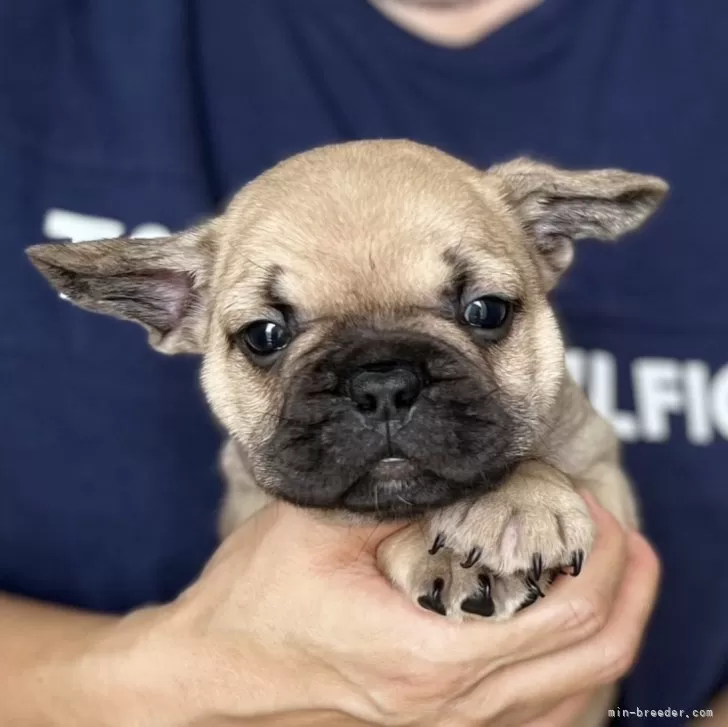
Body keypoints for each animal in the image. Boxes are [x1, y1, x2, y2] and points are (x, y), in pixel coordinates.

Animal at [27, 139, 664, 724]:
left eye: (486, 311)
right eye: (264, 335)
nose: (382, 384)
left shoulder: (604, 472)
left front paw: (512, 499)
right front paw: (462, 555)